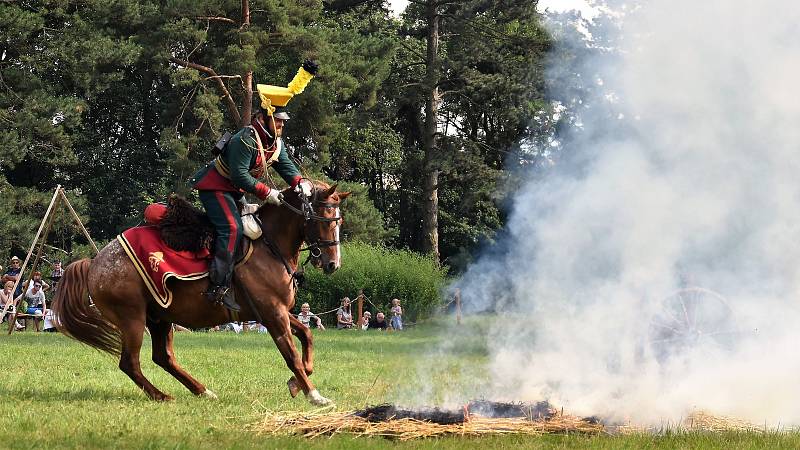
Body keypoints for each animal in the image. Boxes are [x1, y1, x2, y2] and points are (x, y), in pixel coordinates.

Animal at [51, 181, 348, 402]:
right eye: (324, 220)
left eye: (339, 221)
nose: (333, 264)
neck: (269, 245)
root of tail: (94, 263)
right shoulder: (272, 314)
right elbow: (292, 355)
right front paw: (314, 394)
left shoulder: (278, 312)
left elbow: (307, 335)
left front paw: (297, 383)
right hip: (132, 318)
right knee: (130, 363)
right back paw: (161, 396)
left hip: (159, 318)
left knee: (163, 357)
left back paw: (202, 391)